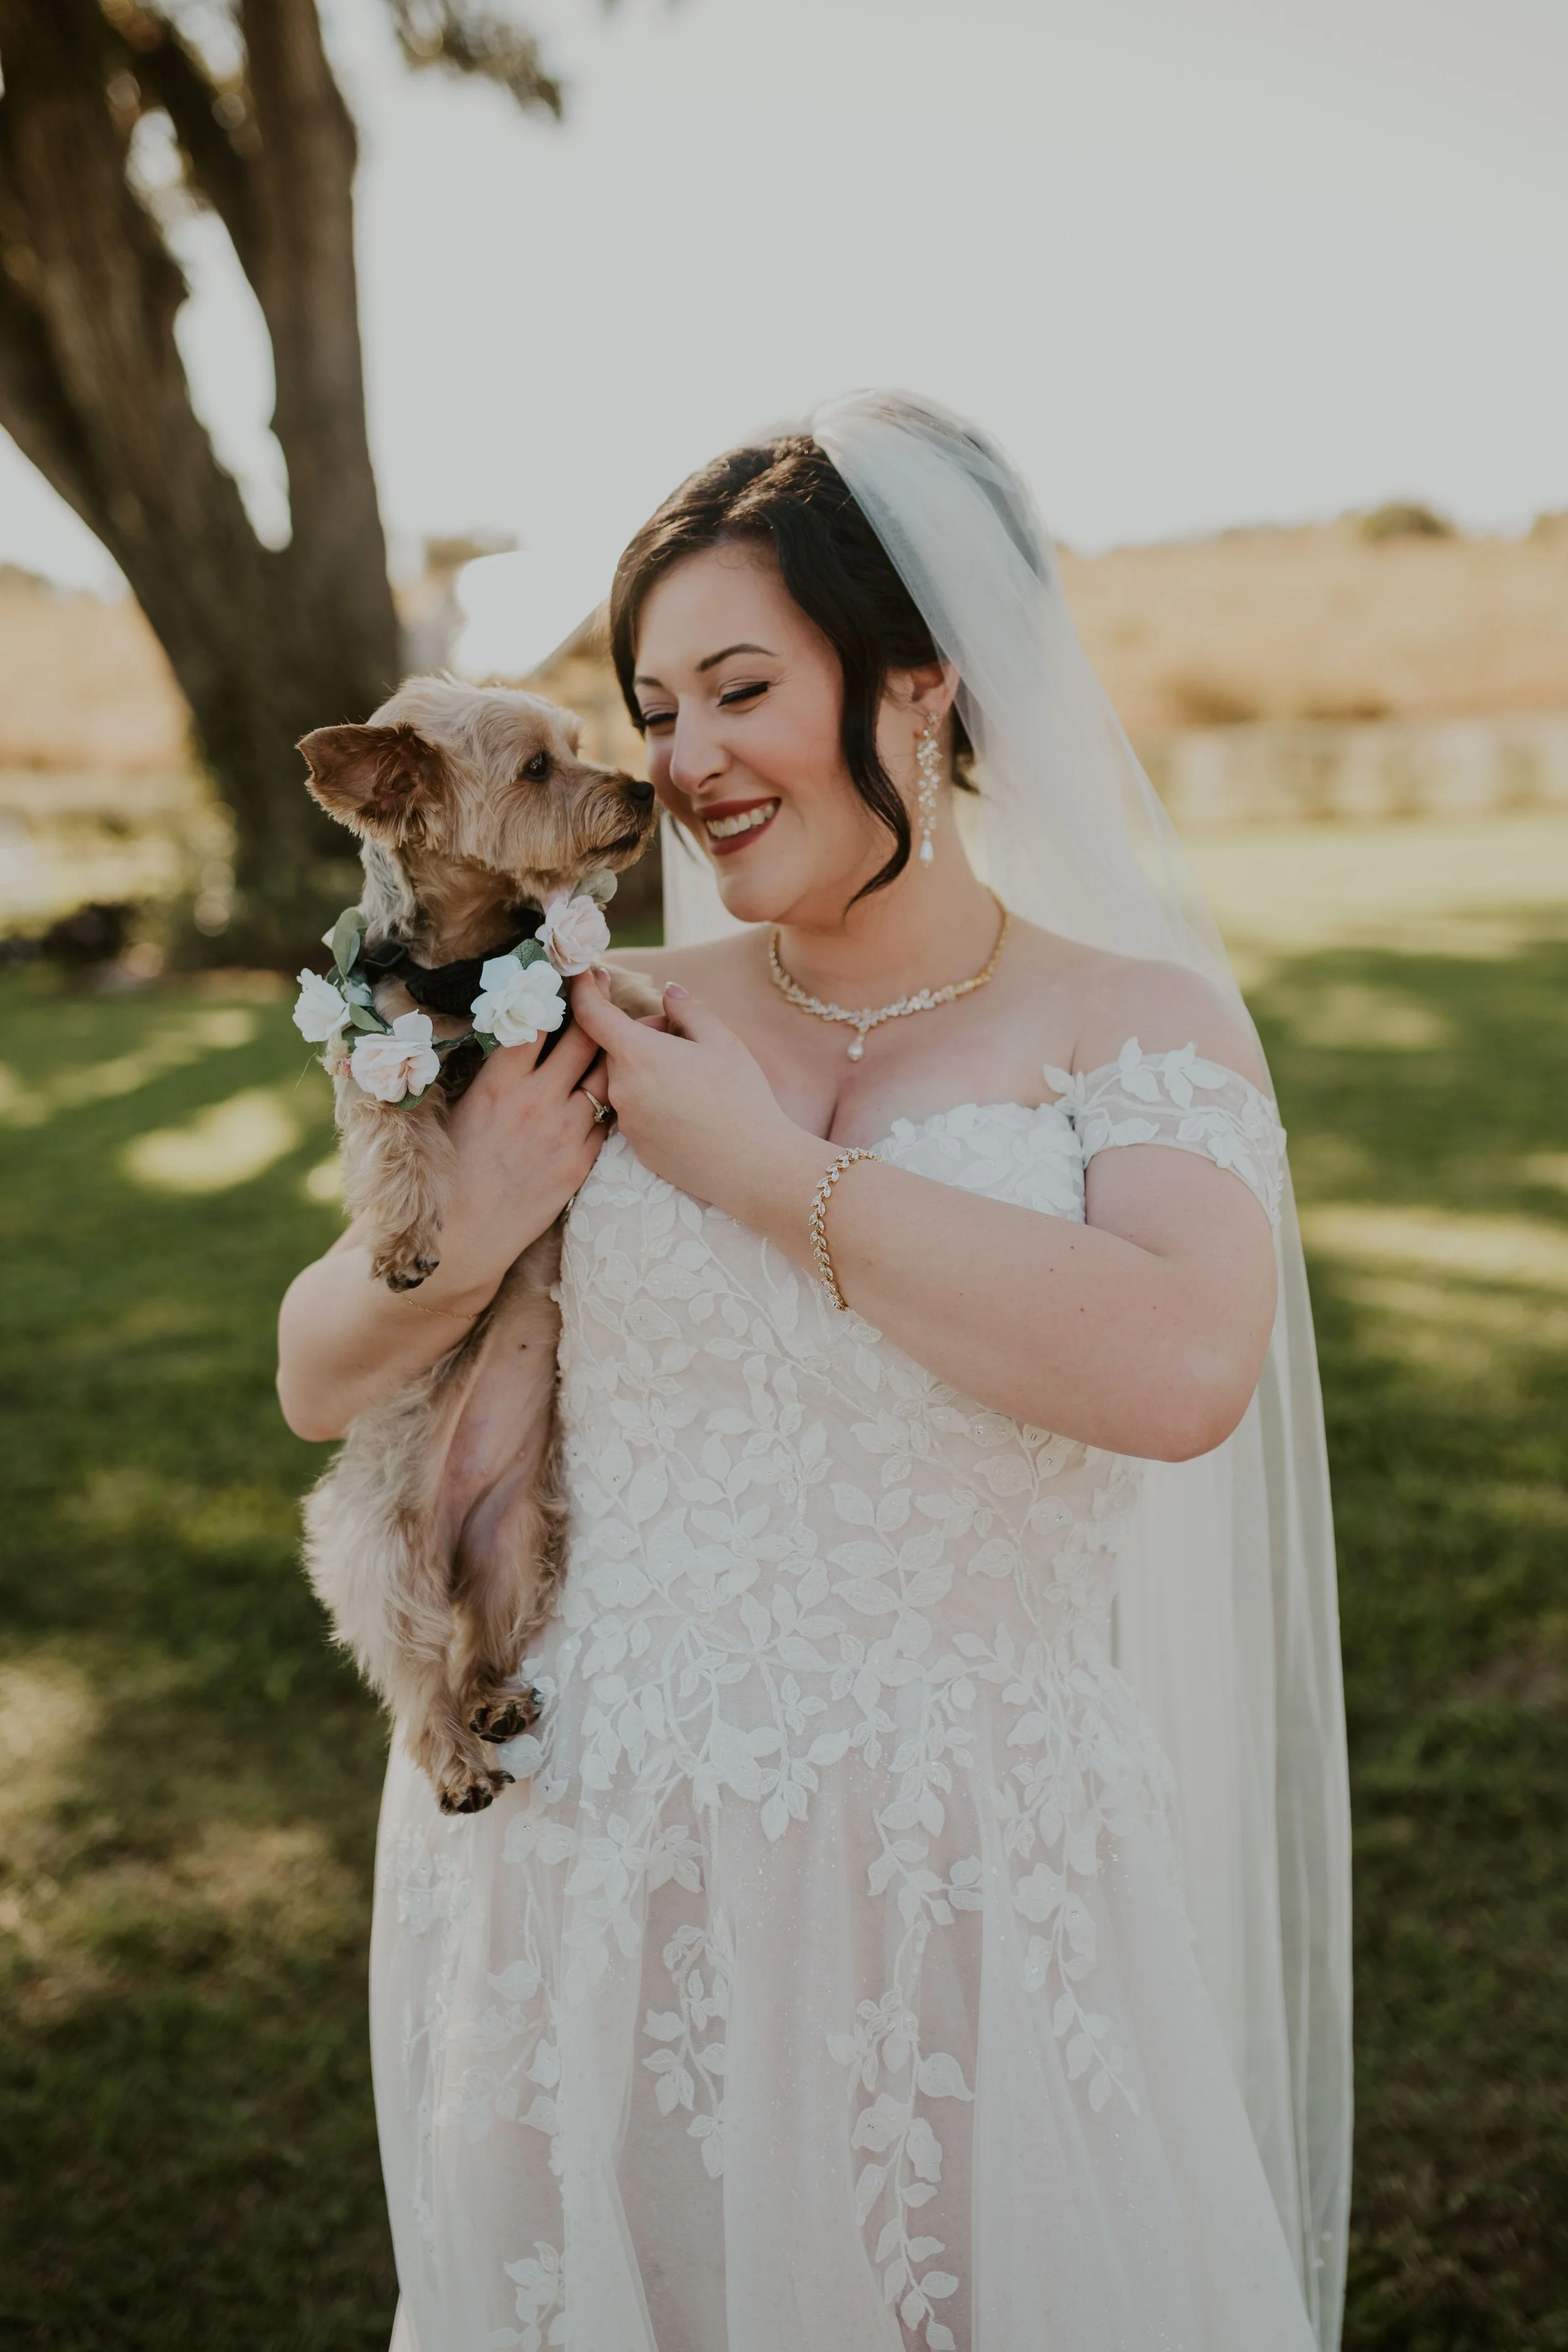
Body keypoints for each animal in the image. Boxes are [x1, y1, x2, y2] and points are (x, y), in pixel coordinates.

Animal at [294, 675, 660, 1815]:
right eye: (538, 770)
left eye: (579, 745)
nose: (643, 786)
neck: (464, 967)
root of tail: (450, 1543)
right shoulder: (372, 1066)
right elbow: (397, 1136)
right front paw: (408, 1239)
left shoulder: (569, 990)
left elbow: (612, 985)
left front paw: (660, 1006)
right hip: (376, 1558)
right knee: (414, 1676)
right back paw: (458, 1759)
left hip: (519, 1543)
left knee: (478, 1644)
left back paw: (494, 1702)